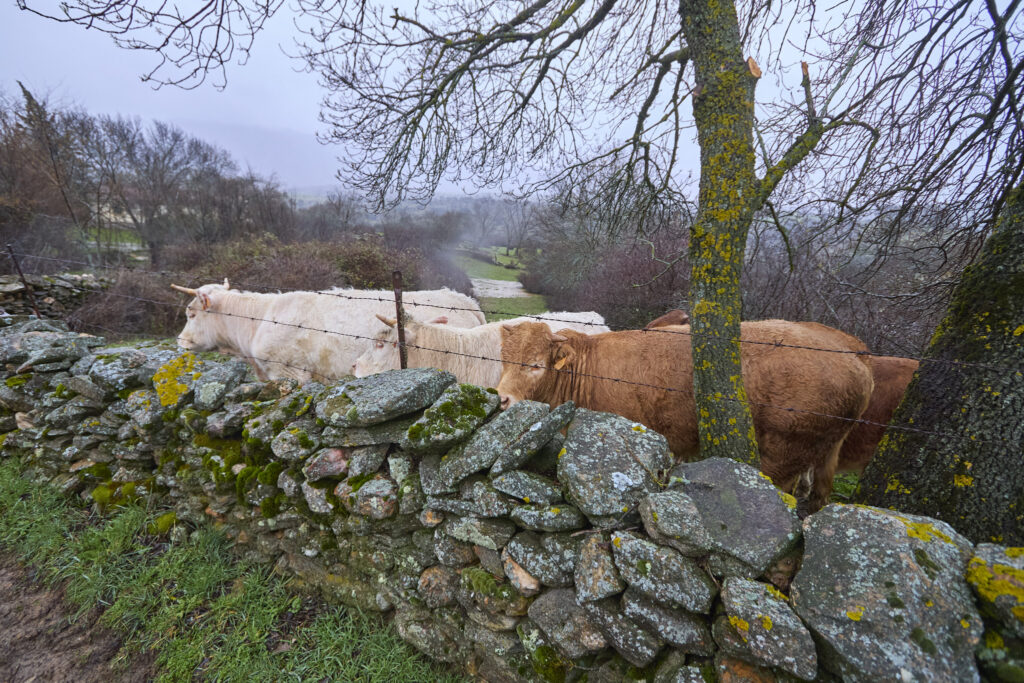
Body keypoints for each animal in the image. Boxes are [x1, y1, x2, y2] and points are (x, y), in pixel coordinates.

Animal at [495, 321, 872, 511]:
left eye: (535, 365)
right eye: (503, 359)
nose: (502, 398)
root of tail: (854, 358)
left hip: (783, 454)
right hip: (824, 454)